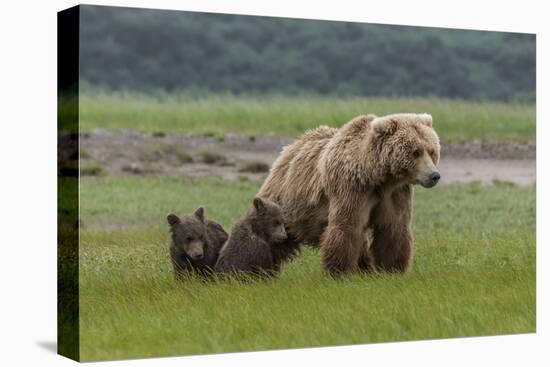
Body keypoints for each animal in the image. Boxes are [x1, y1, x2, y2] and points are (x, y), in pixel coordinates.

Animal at [256, 113, 442, 274]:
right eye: (416, 152)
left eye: (432, 151)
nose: (434, 175)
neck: (376, 176)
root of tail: (289, 147)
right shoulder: (351, 188)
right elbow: (347, 227)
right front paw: (339, 271)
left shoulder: (394, 193)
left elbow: (393, 228)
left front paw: (392, 269)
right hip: (289, 205)